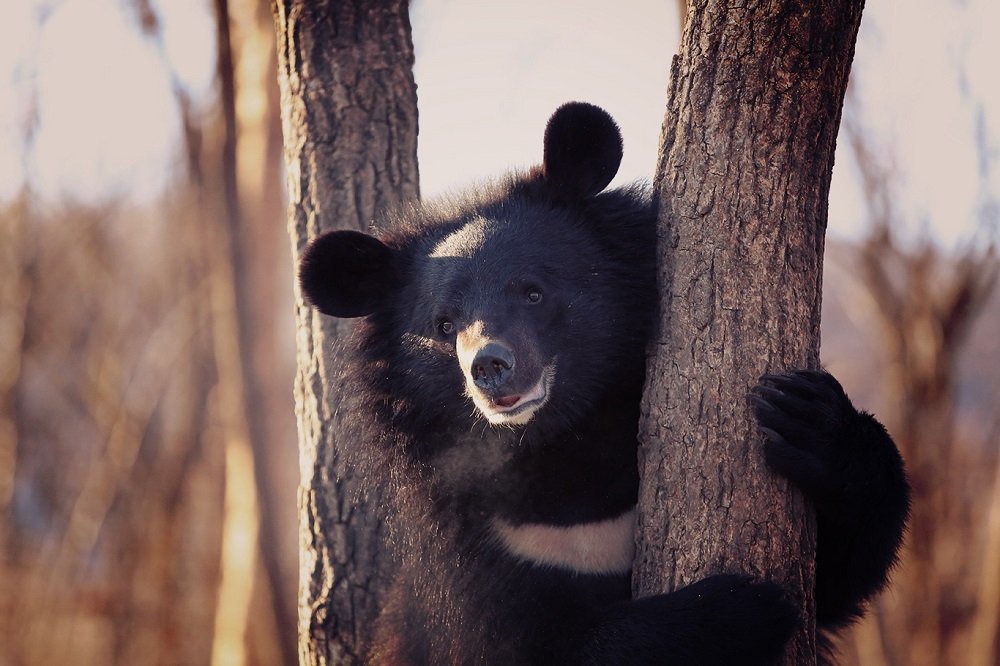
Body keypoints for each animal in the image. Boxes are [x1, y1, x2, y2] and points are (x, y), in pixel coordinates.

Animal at [298, 101, 916, 660]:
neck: (562, 449)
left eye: (533, 291)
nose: (488, 366)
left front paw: (810, 421)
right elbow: (546, 646)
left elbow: (834, 576)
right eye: (443, 326)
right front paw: (743, 608)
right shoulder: (479, 553)